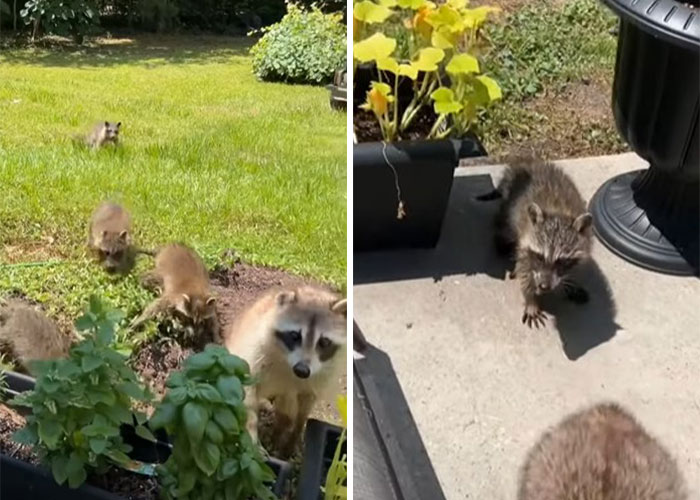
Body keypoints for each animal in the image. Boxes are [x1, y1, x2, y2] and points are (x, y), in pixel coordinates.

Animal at [224, 285, 347, 457]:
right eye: (295, 335)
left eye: (323, 342)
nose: (302, 370)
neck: (288, 363)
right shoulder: (254, 350)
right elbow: (248, 393)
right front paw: (253, 436)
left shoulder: (319, 378)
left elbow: (302, 411)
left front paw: (293, 436)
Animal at [484, 157, 593, 328]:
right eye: (540, 256)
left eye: (562, 261)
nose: (543, 287)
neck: (559, 213)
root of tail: (527, 162)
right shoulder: (525, 243)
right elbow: (525, 270)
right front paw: (531, 300)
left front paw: (571, 282)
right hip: (508, 209)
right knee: (503, 228)